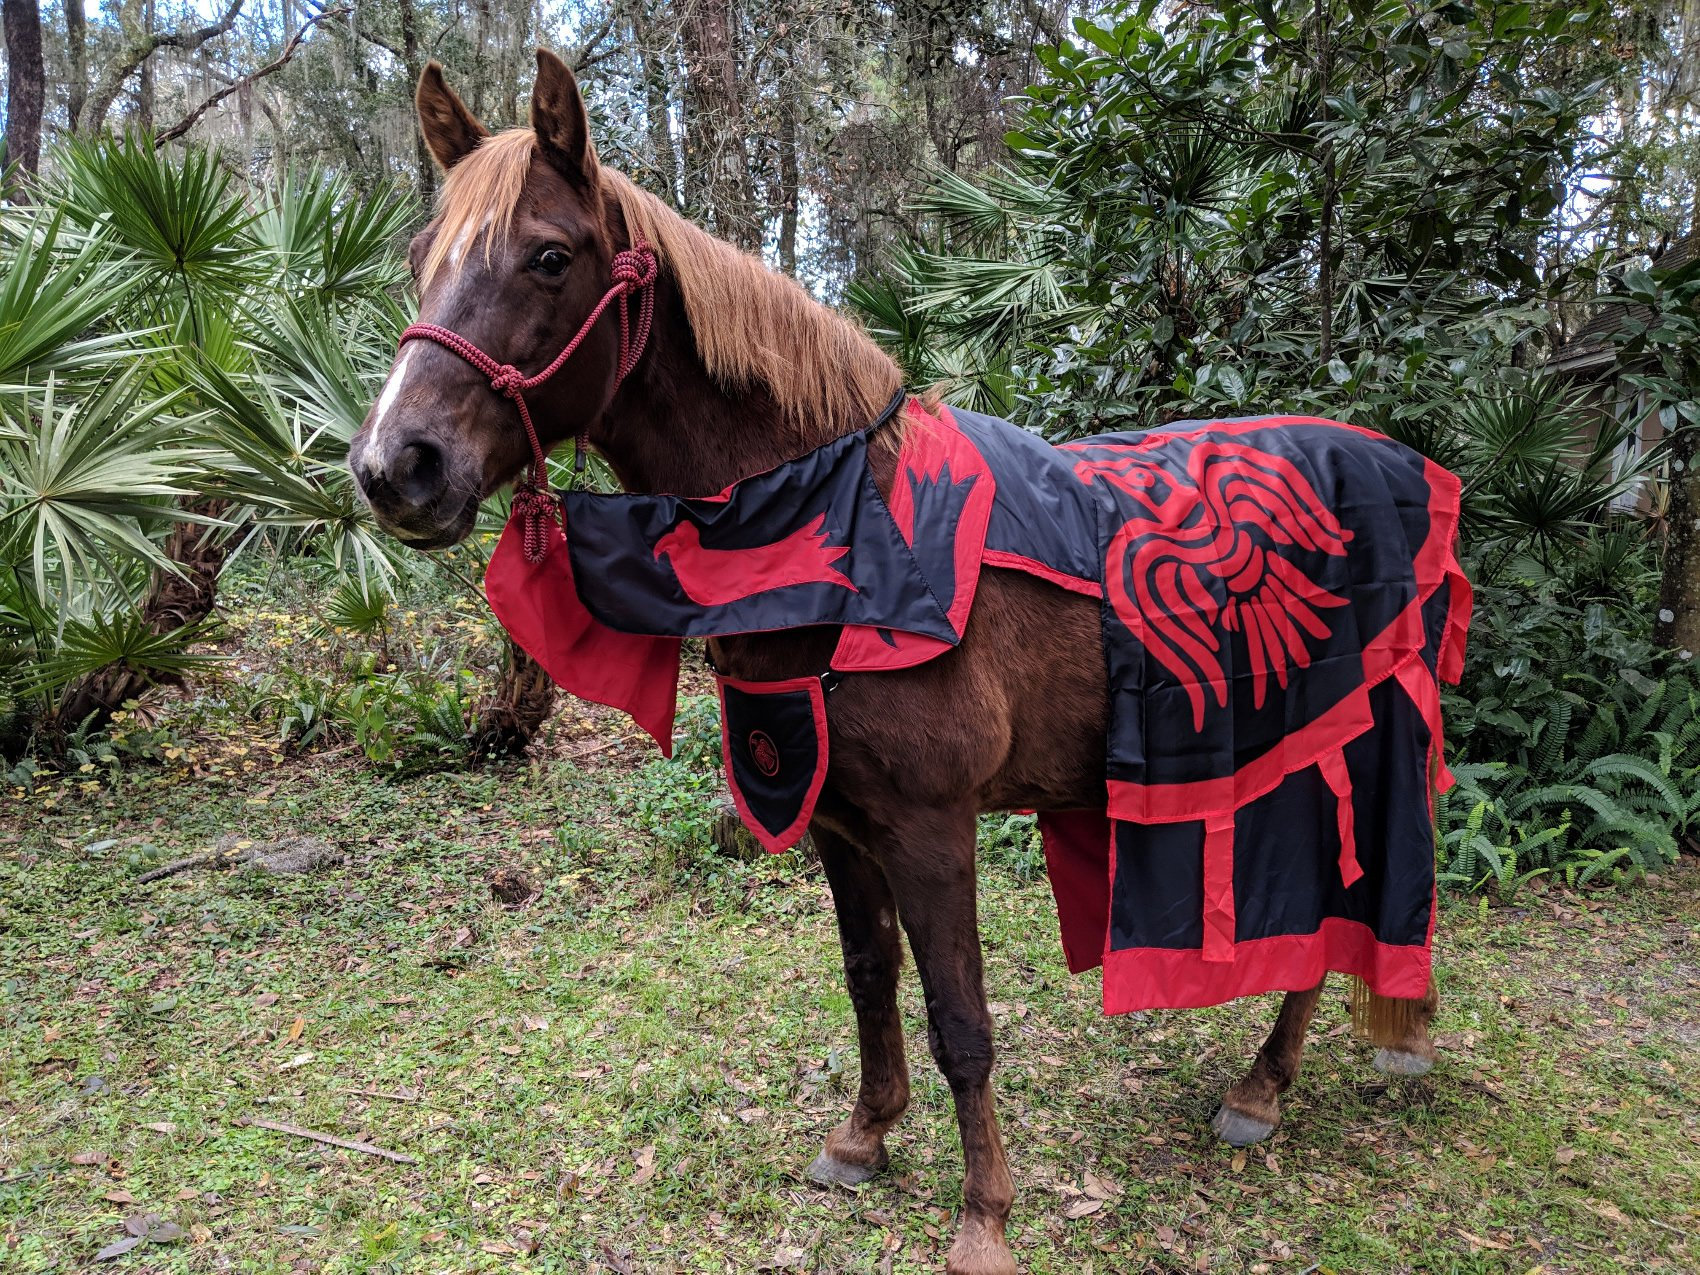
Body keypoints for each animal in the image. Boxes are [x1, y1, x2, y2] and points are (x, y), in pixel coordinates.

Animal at [348, 51, 1446, 1275]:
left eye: (547, 255)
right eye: (419, 260)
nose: (395, 467)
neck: (841, 531)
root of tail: (1398, 463)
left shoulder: (932, 825)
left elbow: (962, 1022)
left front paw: (984, 1215)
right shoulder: (836, 816)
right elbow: (869, 979)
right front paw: (865, 1135)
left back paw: (1262, 1089)